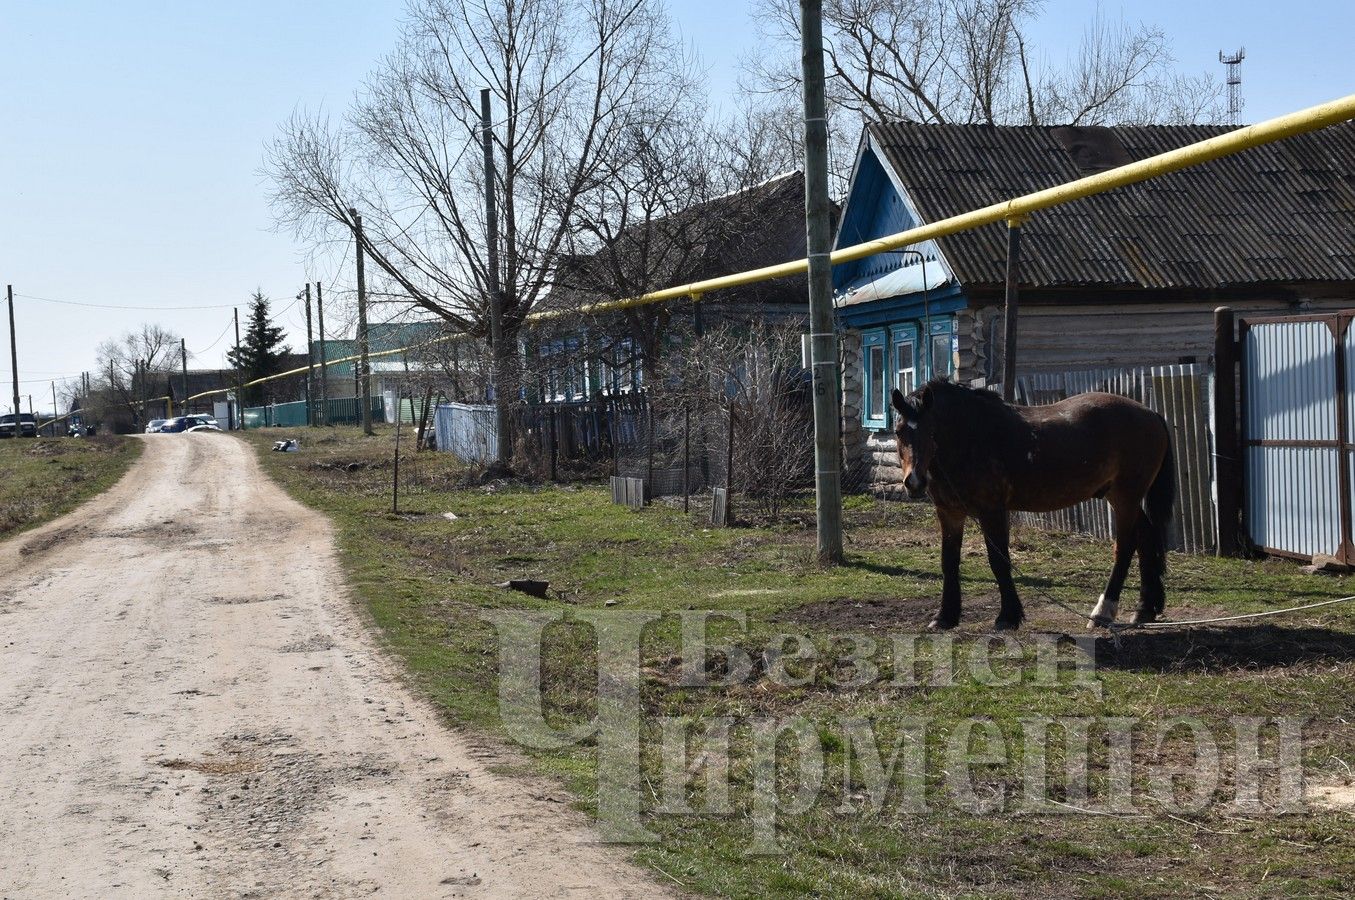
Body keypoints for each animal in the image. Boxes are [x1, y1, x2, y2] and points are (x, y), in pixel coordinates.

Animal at [888, 382, 1176, 631]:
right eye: (899, 431)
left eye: (930, 431)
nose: (914, 481)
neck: (973, 436)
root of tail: (1151, 414)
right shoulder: (949, 513)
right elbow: (949, 562)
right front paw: (945, 617)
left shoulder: (992, 511)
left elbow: (999, 561)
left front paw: (1008, 616)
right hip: (1120, 497)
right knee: (1146, 539)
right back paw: (1145, 609)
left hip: (1126, 497)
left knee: (1125, 548)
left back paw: (1103, 612)